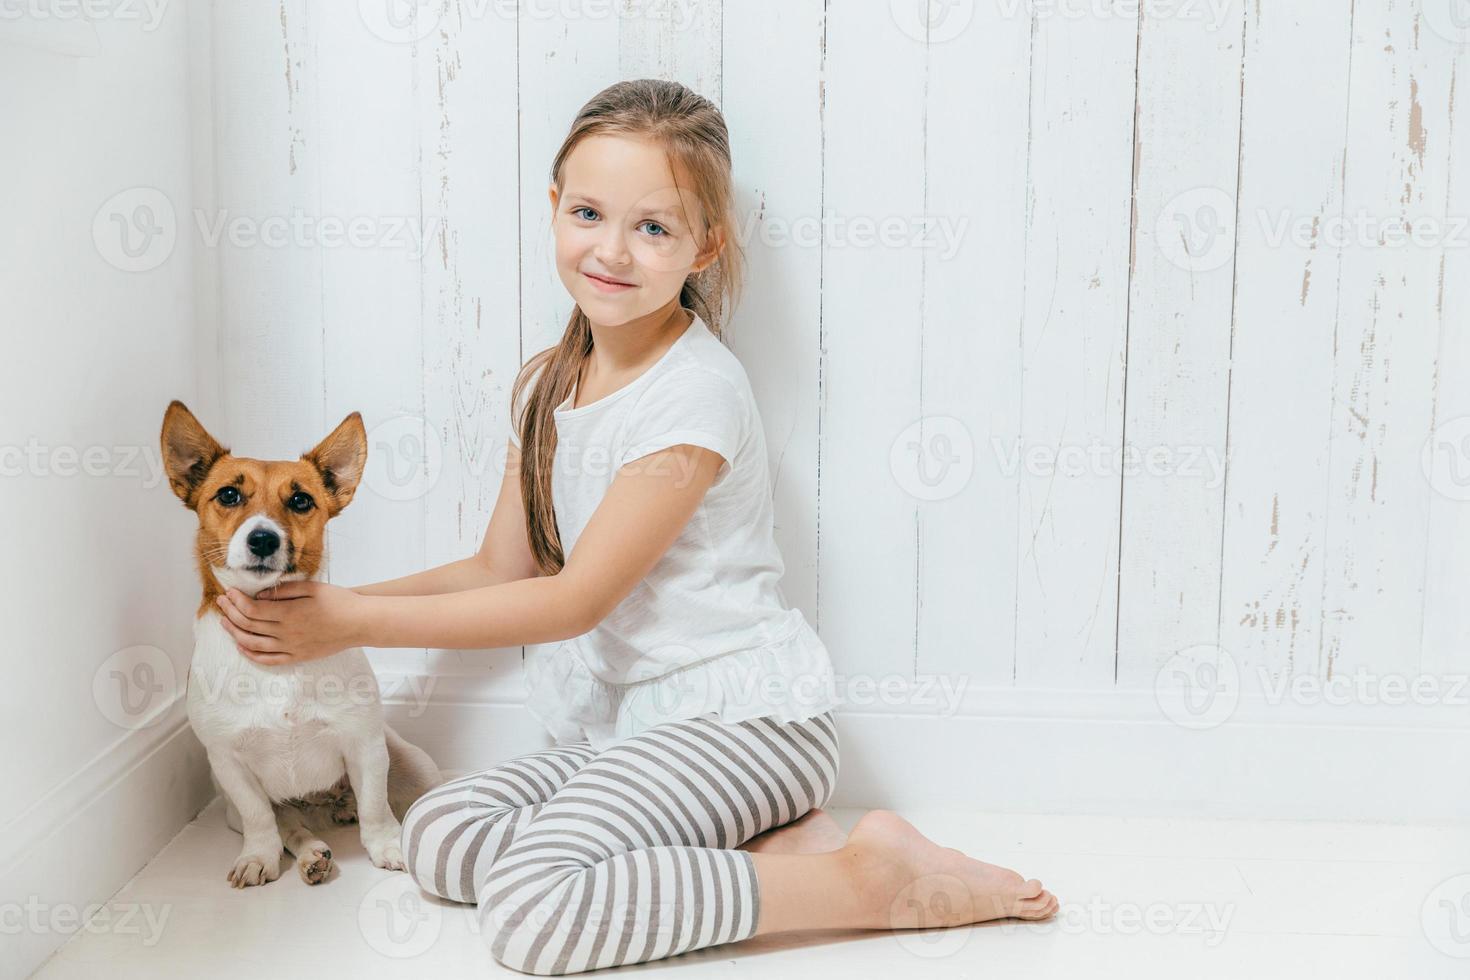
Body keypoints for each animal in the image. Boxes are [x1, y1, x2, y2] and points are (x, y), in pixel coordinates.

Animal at [160, 399, 438, 887]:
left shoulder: (365, 745)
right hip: (235, 808)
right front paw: (259, 855)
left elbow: (375, 807)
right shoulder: (229, 764)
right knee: (292, 825)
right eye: (228, 495)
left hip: (412, 763)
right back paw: (312, 856)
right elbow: (261, 819)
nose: (263, 538)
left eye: (300, 500)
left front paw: (387, 845)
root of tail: (323, 803)